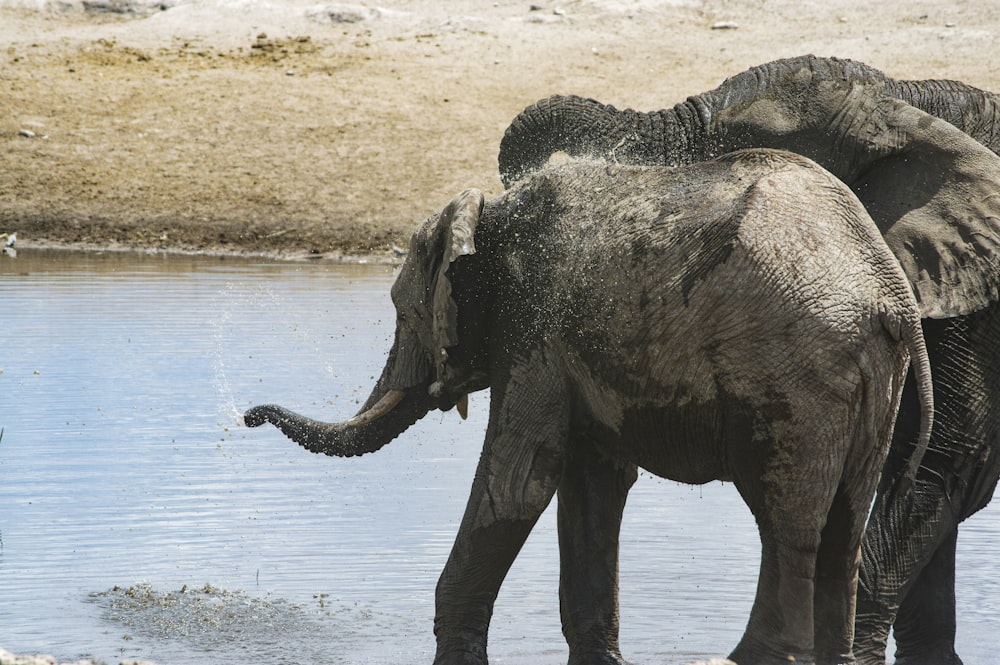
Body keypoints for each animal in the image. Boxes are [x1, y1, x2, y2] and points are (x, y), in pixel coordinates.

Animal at [246, 149, 932, 664]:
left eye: (403, 312)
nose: (247, 416)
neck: (492, 210)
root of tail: (890, 294)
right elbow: (591, 483)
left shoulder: (534, 326)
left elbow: (518, 481)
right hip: (871, 381)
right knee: (844, 523)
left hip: (794, 370)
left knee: (785, 519)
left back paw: (744, 658)